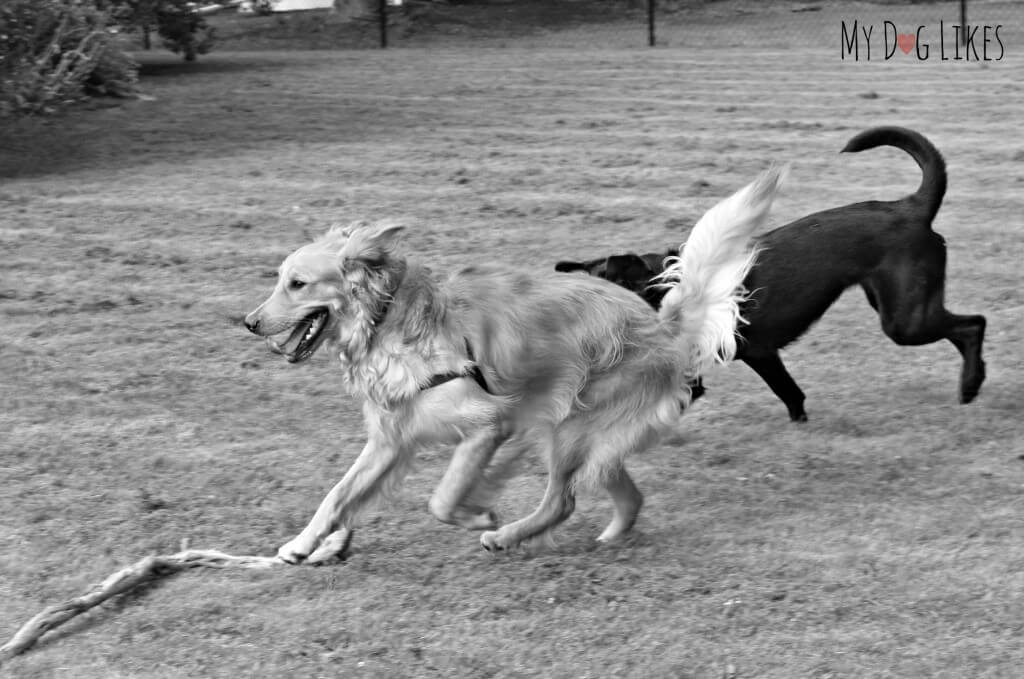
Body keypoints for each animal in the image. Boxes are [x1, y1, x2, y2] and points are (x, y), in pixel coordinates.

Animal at [243, 166, 778, 565]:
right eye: (280, 279)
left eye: (297, 284)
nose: (249, 321)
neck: (388, 322)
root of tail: (661, 324)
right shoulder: (389, 440)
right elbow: (337, 494)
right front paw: (303, 544)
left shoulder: (487, 424)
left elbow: (442, 498)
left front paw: (480, 515)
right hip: (584, 433)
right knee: (626, 497)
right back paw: (602, 537)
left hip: (567, 428)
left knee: (562, 499)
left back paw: (506, 535)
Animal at [557, 125, 987, 419]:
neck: (668, 290)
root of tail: (912, 206)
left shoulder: (760, 352)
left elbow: (790, 394)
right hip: (900, 306)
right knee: (963, 327)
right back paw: (974, 381)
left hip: (905, 319)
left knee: (974, 324)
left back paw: (969, 385)